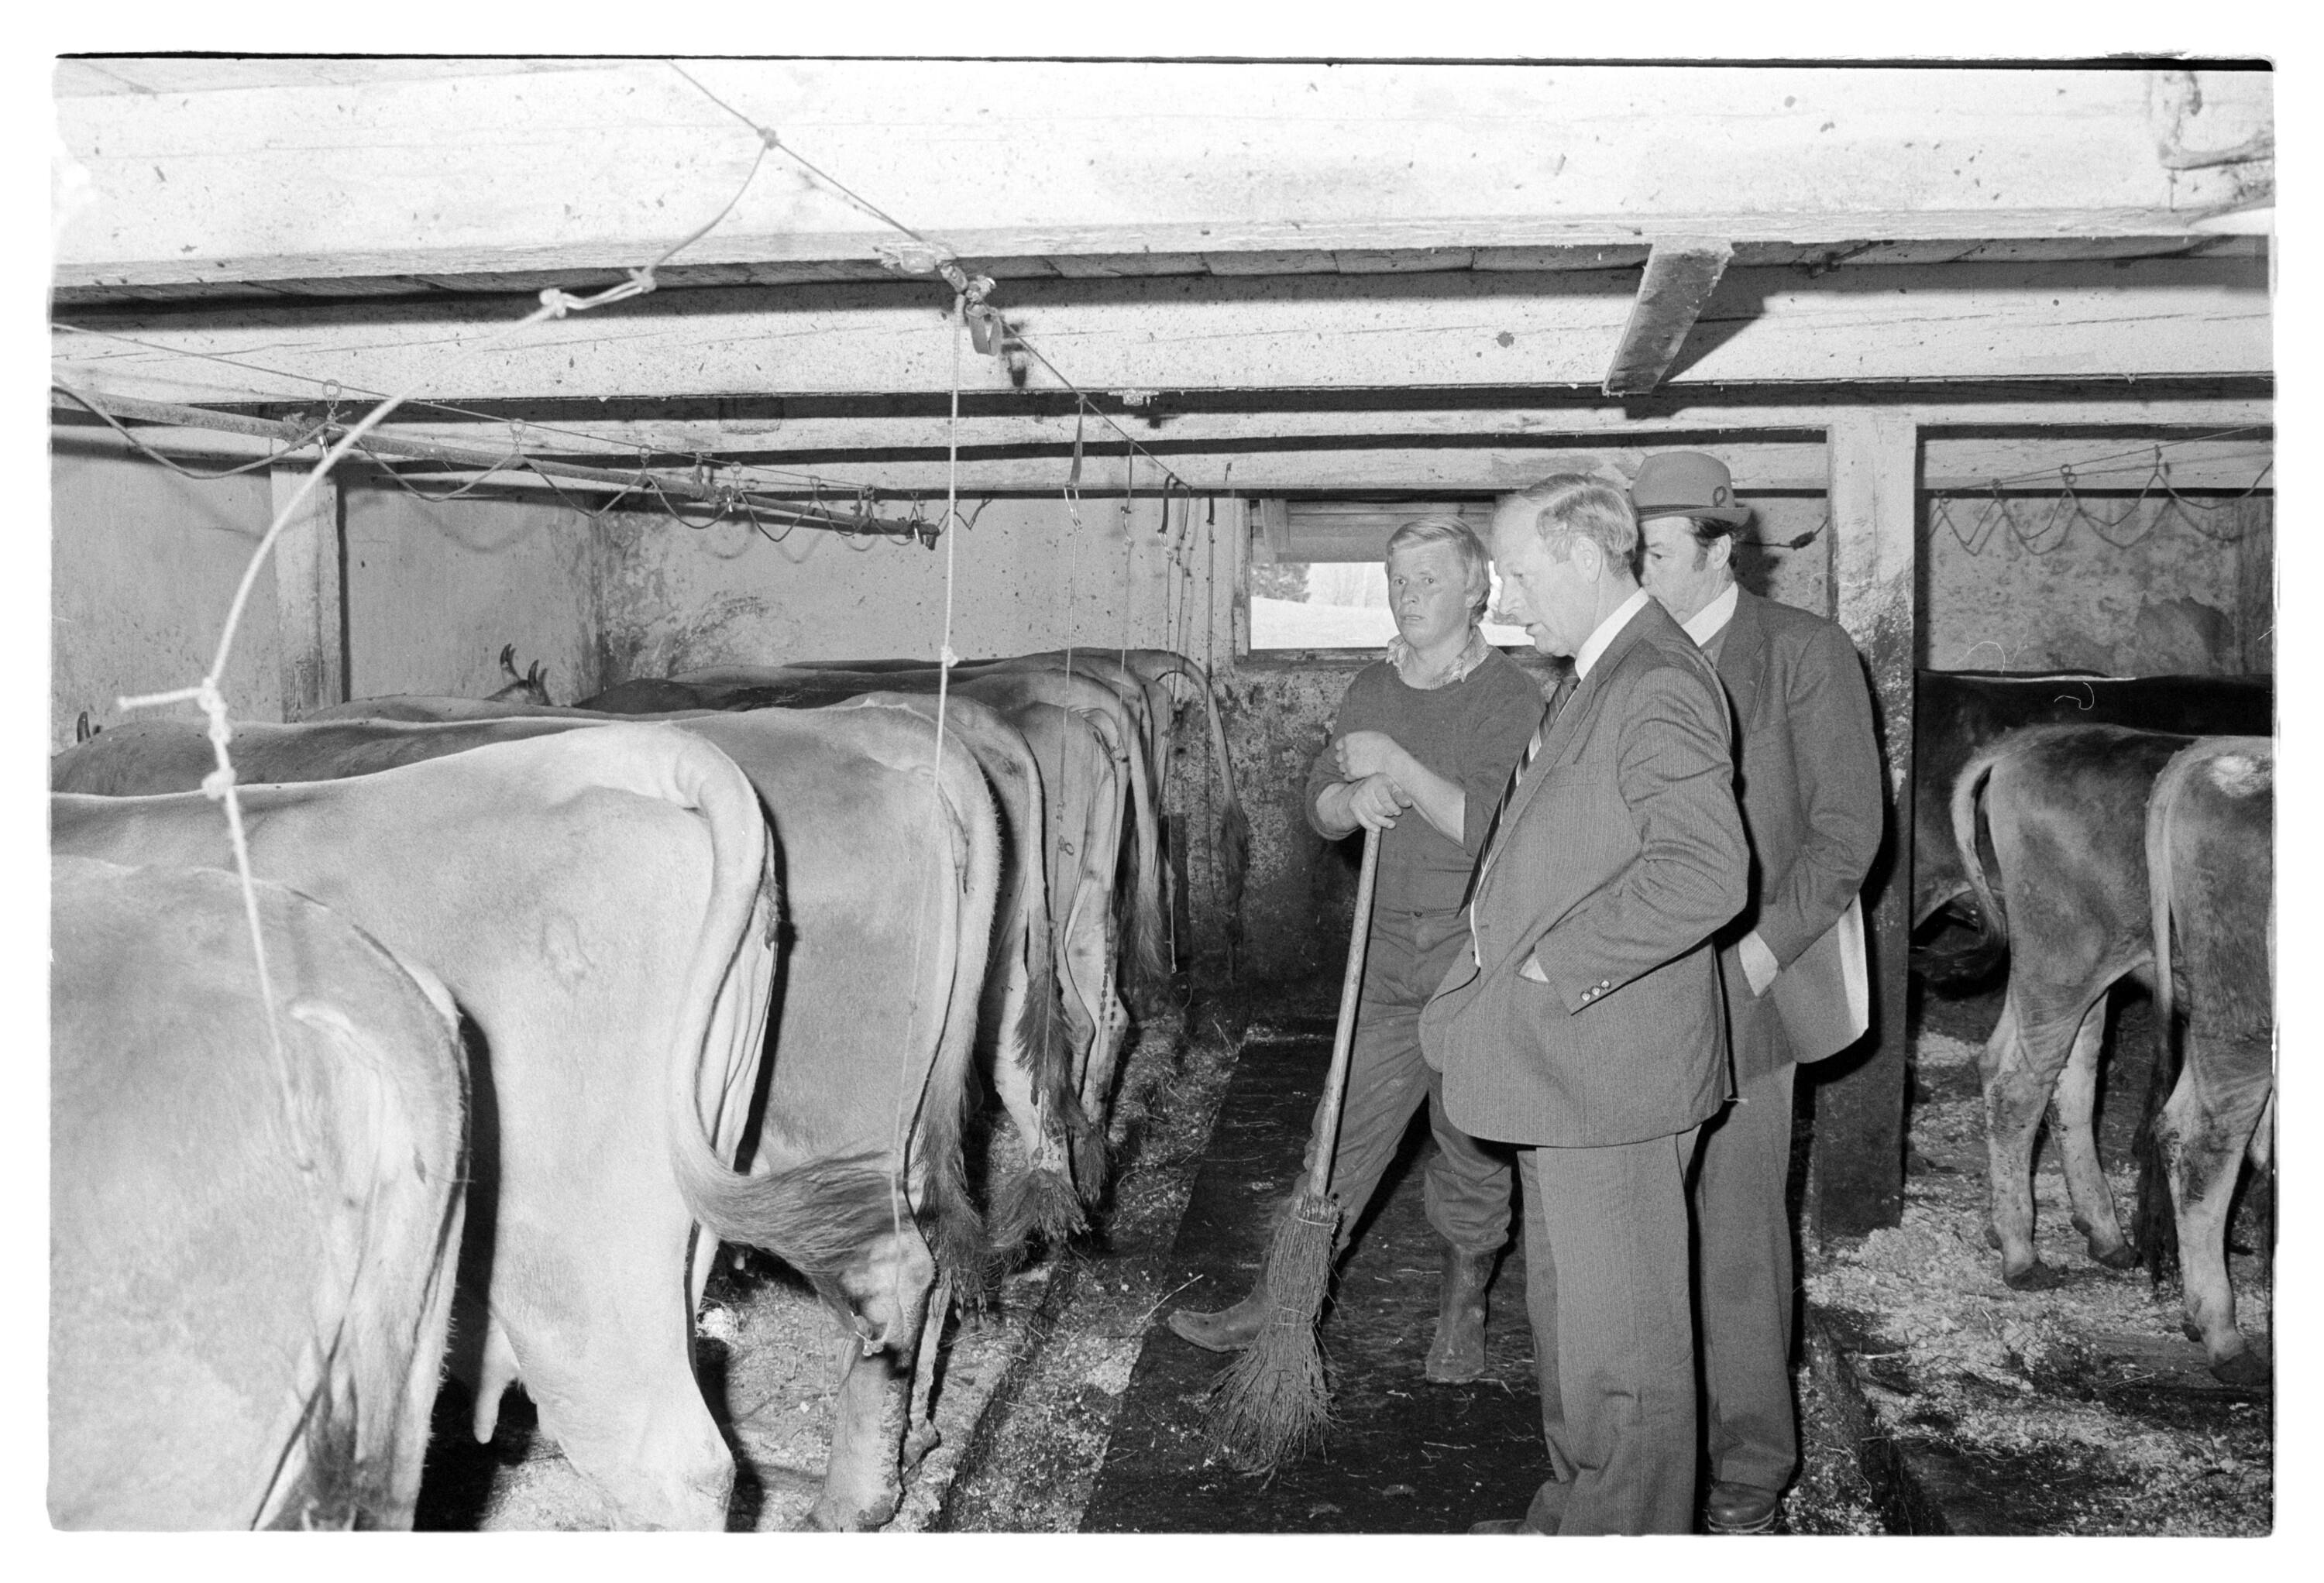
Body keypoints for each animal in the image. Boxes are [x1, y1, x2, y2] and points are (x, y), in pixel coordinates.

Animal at [1949, 723, 2193, 1289]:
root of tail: (2028, 741)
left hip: (2065, 976)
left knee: (2053, 1079)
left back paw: (2099, 1235)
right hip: (2066, 963)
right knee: (2020, 1091)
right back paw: (2022, 1254)